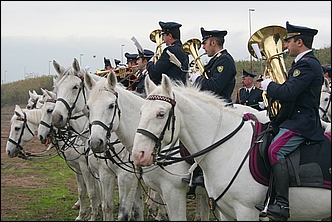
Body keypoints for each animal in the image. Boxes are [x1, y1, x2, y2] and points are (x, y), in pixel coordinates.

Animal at [49, 58, 144, 220]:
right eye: (57, 88)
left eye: (75, 87)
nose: (56, 117)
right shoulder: (104, 173)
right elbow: (107, 206)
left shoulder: (127, 176)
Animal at [84, 70, 211, 220]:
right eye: (88, 107)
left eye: (111, 105)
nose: (95, 142)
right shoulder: (116, 176)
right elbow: (129, 209)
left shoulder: (131, 179)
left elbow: (123, 214)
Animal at [131, 74, 330, 220]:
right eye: (140, 112)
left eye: (161, 114)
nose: (138, 154)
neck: (228, 149)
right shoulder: (226, 211)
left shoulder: (246, 211)